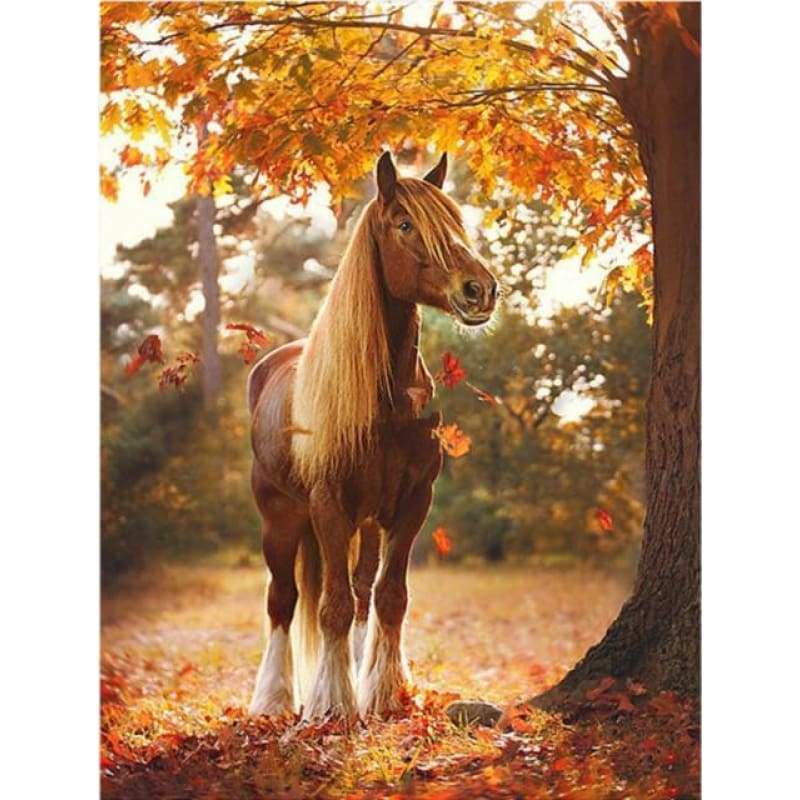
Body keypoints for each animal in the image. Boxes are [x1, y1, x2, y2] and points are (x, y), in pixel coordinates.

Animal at [247, 151, 498, 719]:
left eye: (456, 220)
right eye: (405, 224)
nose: (480, 289)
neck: (387, 402)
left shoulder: (411, 504)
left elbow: (388, 597)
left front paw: (382, 692)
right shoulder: (329, 504)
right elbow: (332, 605)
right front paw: (331, 705)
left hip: (364, 522)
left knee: (362, 592)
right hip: (281, 517)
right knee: (282, 600)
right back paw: (273, 699)